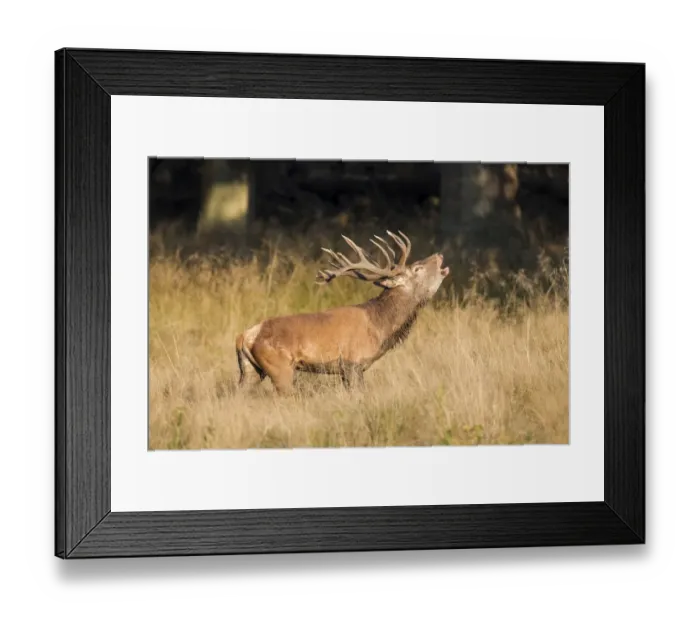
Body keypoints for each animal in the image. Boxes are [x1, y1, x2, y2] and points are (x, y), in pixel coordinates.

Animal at [235, 231, 450, 394]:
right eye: (417, 268)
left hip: (251, 370)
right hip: (280, 368)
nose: (439, 255)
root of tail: (245, 336)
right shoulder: (352, 362)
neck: (379, 326)